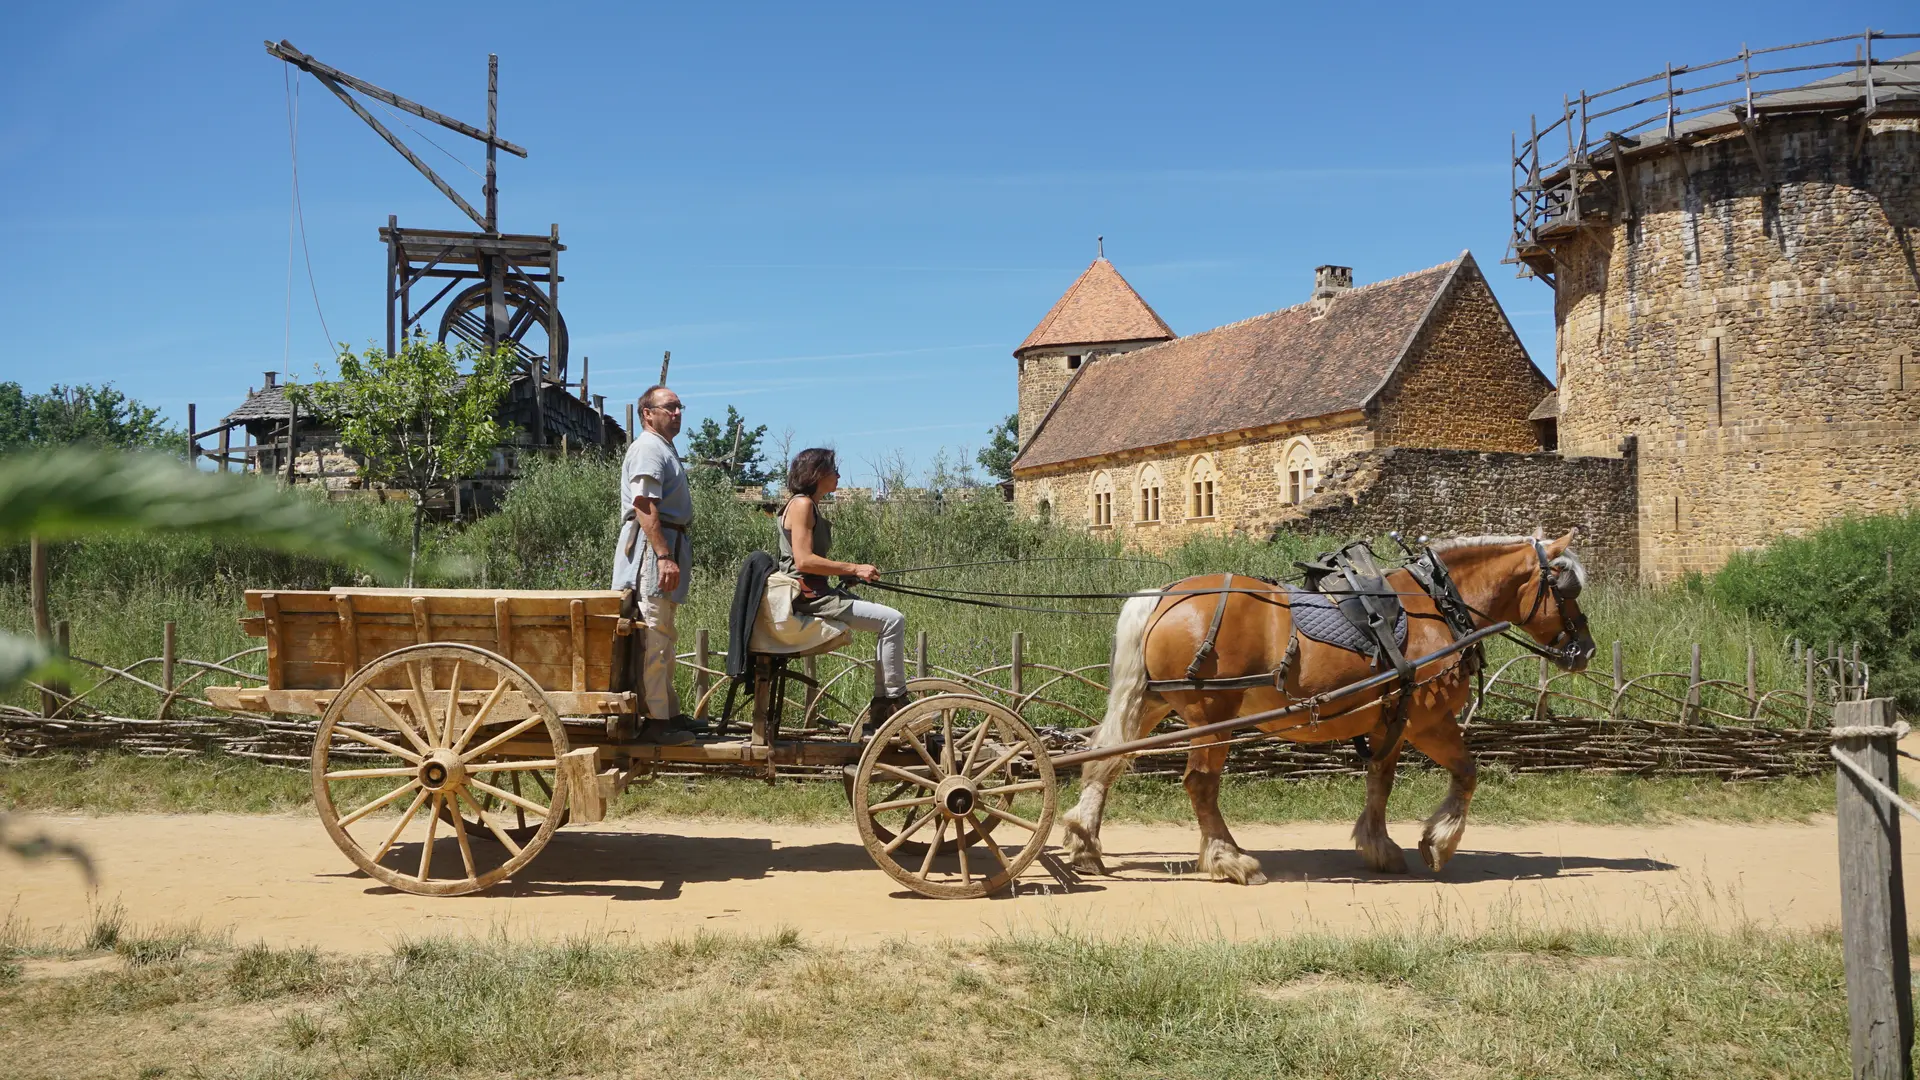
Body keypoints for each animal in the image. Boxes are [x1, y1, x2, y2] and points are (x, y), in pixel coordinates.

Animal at [1059, 526, 1597, 880]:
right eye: (1566, 588)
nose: (1586, 648)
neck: (1437, 604)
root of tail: (1165, 594)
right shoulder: (1428, 721)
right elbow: (1467, 772)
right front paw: (1439, 843)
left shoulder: (1390, 720)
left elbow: (1380, 781)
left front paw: (1379, 846)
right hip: (1213, 717)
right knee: (1200, 785)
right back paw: (1228, 858)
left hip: (1152, 704)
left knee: (1104, 761)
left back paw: (1085, 842)